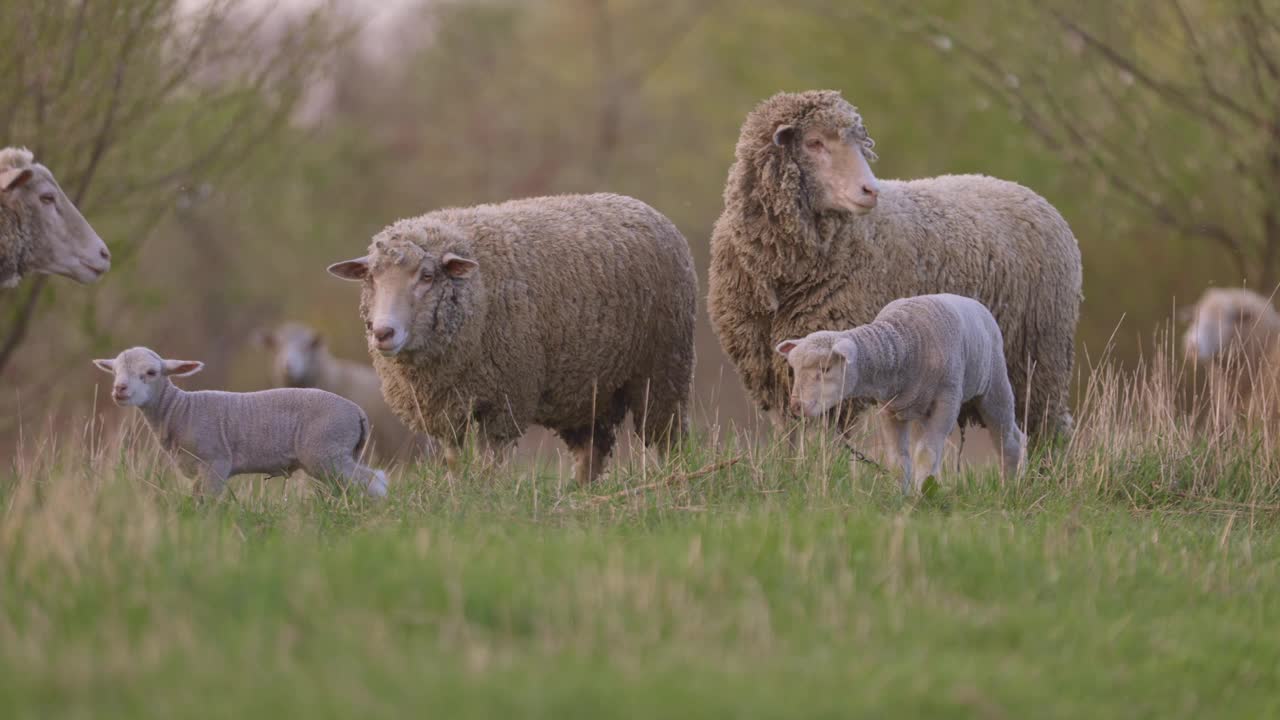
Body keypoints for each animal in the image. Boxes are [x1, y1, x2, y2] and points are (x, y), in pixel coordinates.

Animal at [93, 345, 386, 497]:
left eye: (151, 372)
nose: (119, 389)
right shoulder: (196, 470)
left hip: (326, 451)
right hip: (342, 452)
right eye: (115, 372)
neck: (179, 409)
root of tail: (357, 412)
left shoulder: (216, 462)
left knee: (374, 482)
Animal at [325, 190, 696, 481]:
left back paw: (671, 478)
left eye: (427, 276)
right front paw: (457, 492)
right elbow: (453, 460)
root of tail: (640, 205)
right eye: (371, 277)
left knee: (665, 438)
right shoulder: (445, 409)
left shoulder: (505, 400)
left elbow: (491, 463)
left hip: (663, 370)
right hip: (591, 388)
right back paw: (579, 492)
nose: (383, 332)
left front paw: (487, 494)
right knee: (592, 450)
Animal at [706, 87, 1085, 440]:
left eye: (860, 145)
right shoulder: (768, 366)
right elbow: (791, 434)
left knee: (1046, 427)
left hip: (1039, 356)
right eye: (814, 143)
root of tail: (1030, 194)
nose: (870, 190)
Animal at [773, 293, 1024, 491]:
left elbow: (926, 452)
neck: (904, 346)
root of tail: (974, 303)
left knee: (1009, 439)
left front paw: (922, 495)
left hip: (995, 385)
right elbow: (898, 459)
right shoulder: (889, 408)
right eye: (794, 369)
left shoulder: (947, 400)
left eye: (825, 369)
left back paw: (1011, 486)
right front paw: (901, 494)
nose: (796, 406)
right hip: (921, 409)